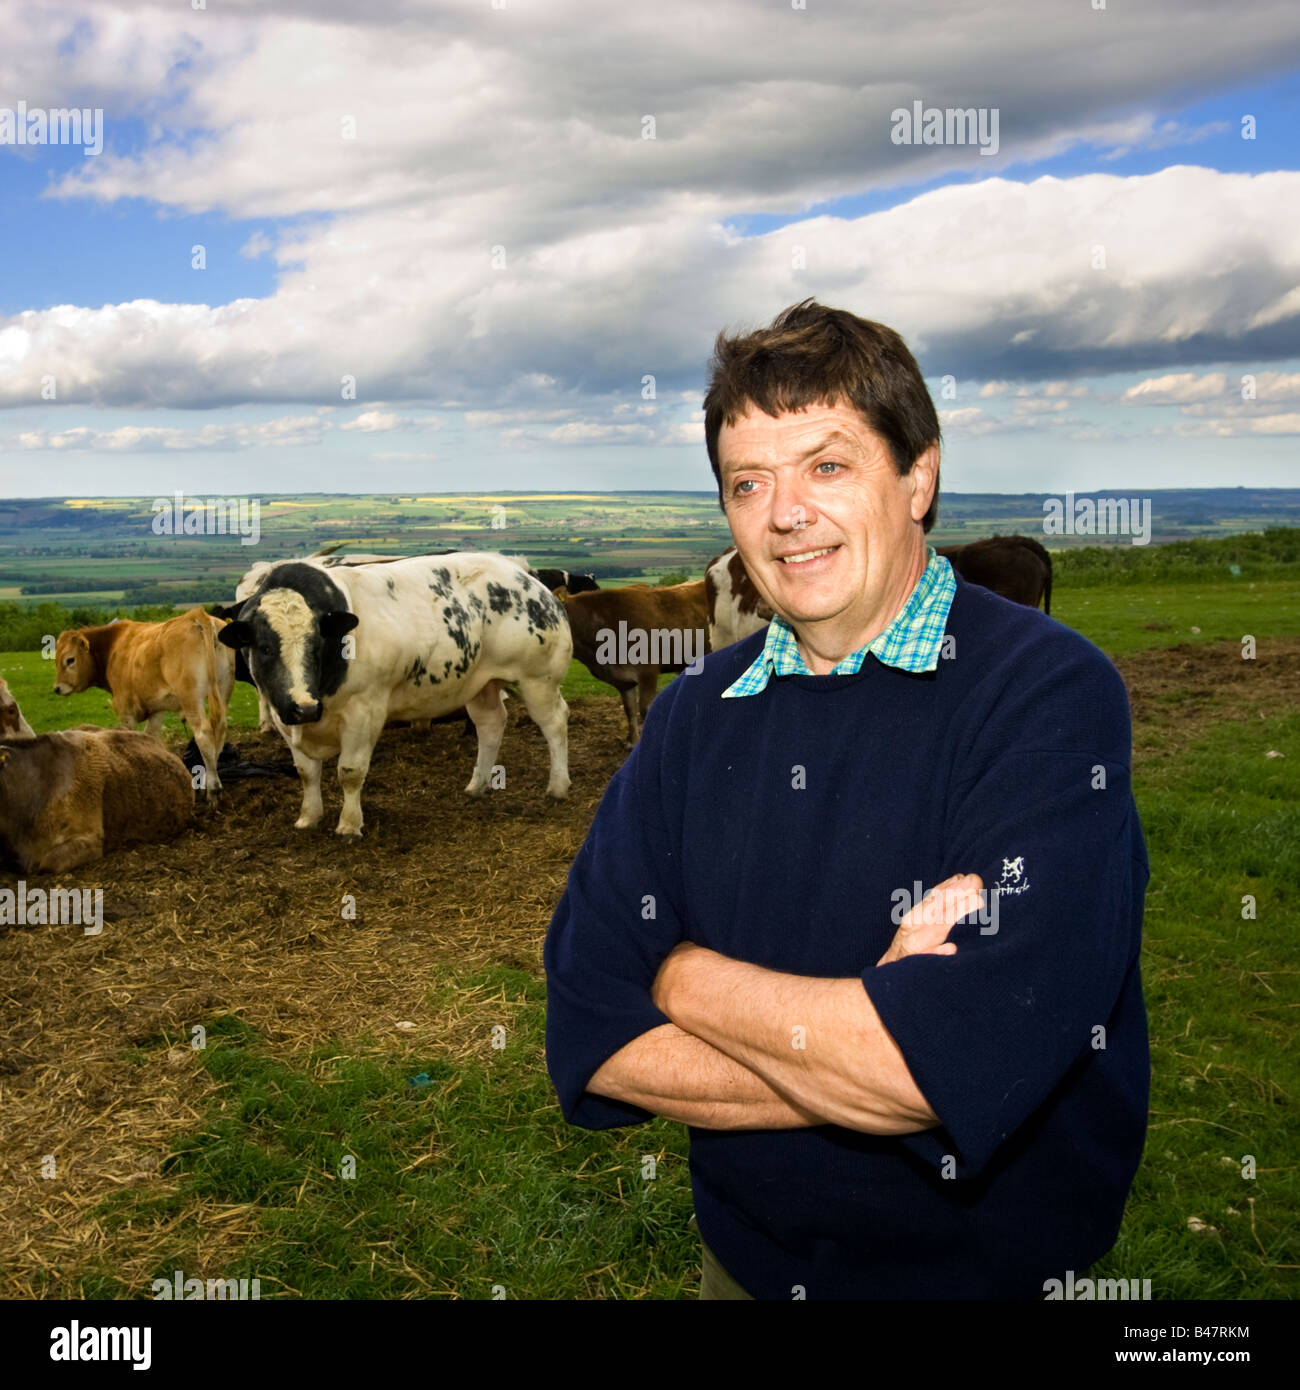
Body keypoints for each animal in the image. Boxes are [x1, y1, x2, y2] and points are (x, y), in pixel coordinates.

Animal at [50, 611, 234, 800]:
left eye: (70, 660)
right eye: (56, 660)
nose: (57, 688)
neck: (114, 646)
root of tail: (196, 615)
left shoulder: (126, 711)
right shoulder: (157, 708)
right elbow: (151, 738)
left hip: (191, 699)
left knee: (204, 735)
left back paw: (213, 789)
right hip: (223, 690)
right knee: (219, 732)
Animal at [218, 553, 570, 834]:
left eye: (317, 644)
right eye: (264, 648)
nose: (304, 708)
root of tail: (521, 573)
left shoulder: (365, 711)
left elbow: (350, 772)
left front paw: (349, 825)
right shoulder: (285, 717)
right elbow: (306, 772)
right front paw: (309, 817)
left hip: (538, 679)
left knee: (555, 723)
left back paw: (558, 786)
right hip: (480, 683)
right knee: (490, 724)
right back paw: (478, 783)